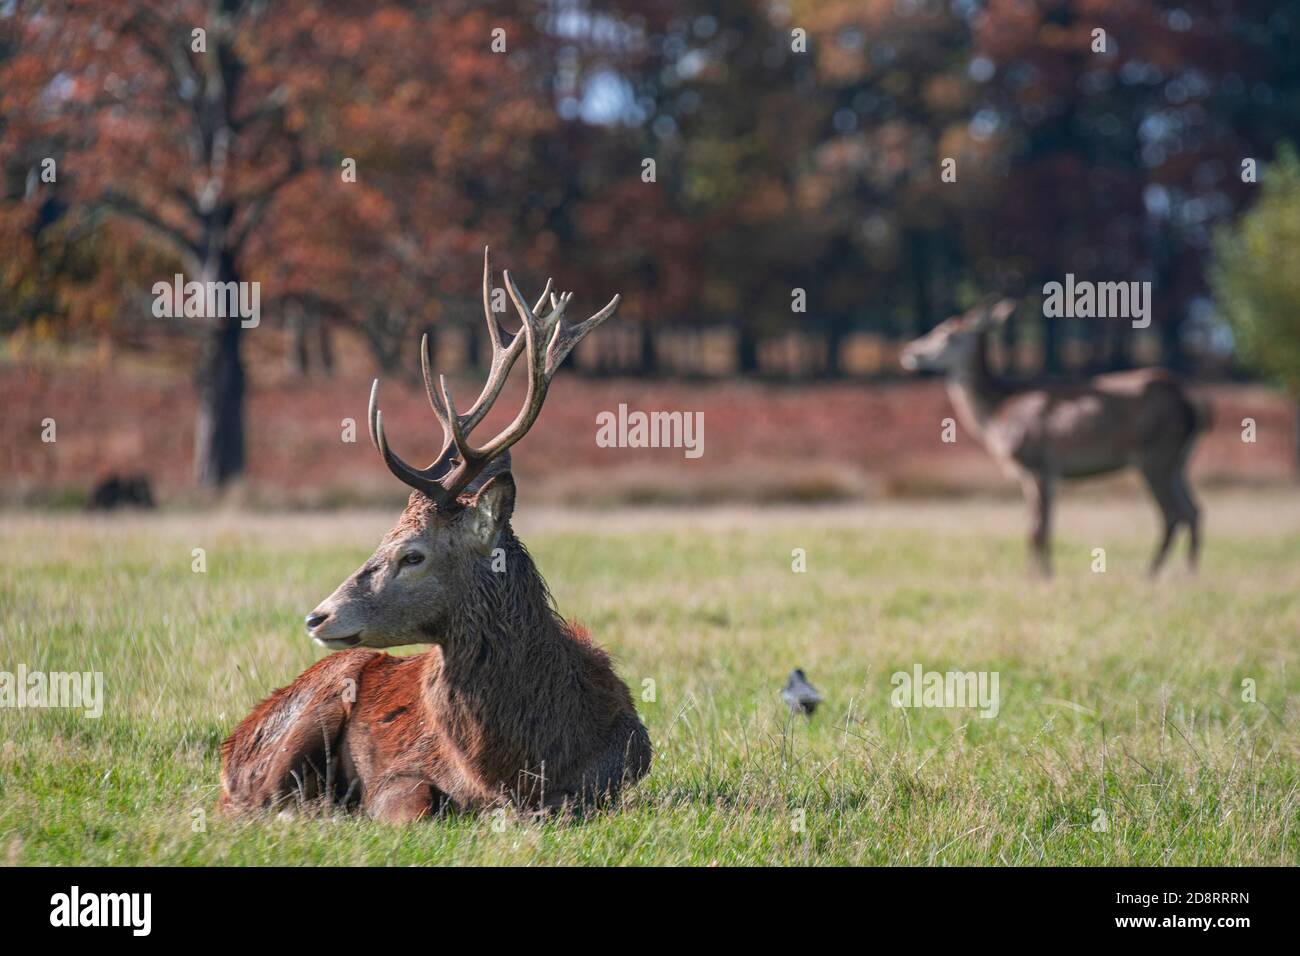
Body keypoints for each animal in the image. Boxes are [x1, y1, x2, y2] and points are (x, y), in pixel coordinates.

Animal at [223, 248, 655, 822]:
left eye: (412, 555)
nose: (318, 616)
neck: (518, 766)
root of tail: (230, 746)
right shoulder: (402, 775)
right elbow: (423, 802)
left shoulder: (618, 772)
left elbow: (561, 805)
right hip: (315, 701)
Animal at [899, 299, 1211, 574]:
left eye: (947, 333)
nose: (909, 352)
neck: (995, 417)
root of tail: (1191, 407)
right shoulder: (1044, 472)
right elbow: (1044, 524)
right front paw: (1043, 571)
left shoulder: (1036, 462)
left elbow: (1036, 528)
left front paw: (1037, 575)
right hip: (1177, 461)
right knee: (1194, 510)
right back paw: (1190, 571)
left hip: (1154, 455)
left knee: (1172, 513)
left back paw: (1153, 571)